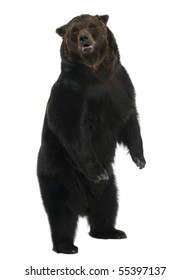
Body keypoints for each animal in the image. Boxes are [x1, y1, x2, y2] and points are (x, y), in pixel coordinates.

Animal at [37, 14, 147, 254]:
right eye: (73, 31)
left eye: (91, 26)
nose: (84, 38)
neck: (96, 72)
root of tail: (84, 204)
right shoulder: (72, 95)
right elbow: (73, 130)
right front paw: (97, 172)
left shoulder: (119, 86)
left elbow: (130, 121)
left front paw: (140, 159)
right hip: (60, 172)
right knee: (61, 212)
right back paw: (66, 246)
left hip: (109, 188)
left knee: (108, 206)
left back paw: (111, 232)